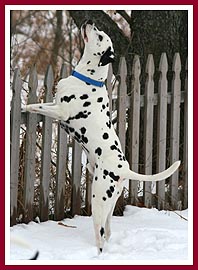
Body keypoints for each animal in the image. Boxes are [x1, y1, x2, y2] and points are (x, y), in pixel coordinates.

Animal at [24, 20, 180, 254]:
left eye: (99, 36)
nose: (90, 22)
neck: (89, 79)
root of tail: (124, 169)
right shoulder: (56, 103)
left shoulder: (61, 111)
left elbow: (38, 107)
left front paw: (25, 106)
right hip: (109, 205)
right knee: (108, 231)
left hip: (98, 201)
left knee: (100, 236)